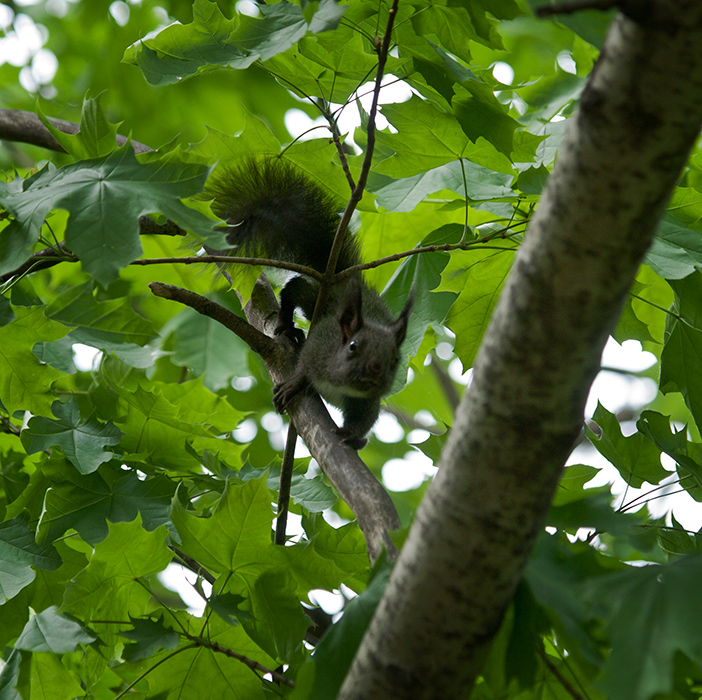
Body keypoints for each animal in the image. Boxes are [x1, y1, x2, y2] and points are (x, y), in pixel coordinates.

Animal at [206, 159, 412, 448]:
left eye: (395, 359)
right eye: (352, 346)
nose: (375, 369)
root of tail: (340, 278)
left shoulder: (366, 402)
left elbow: (365, 420)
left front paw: (353, 436)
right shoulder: (320, 345)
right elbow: (304, 366)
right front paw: (295, 384)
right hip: (314, 301)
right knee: (293, 290)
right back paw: (287, 325)